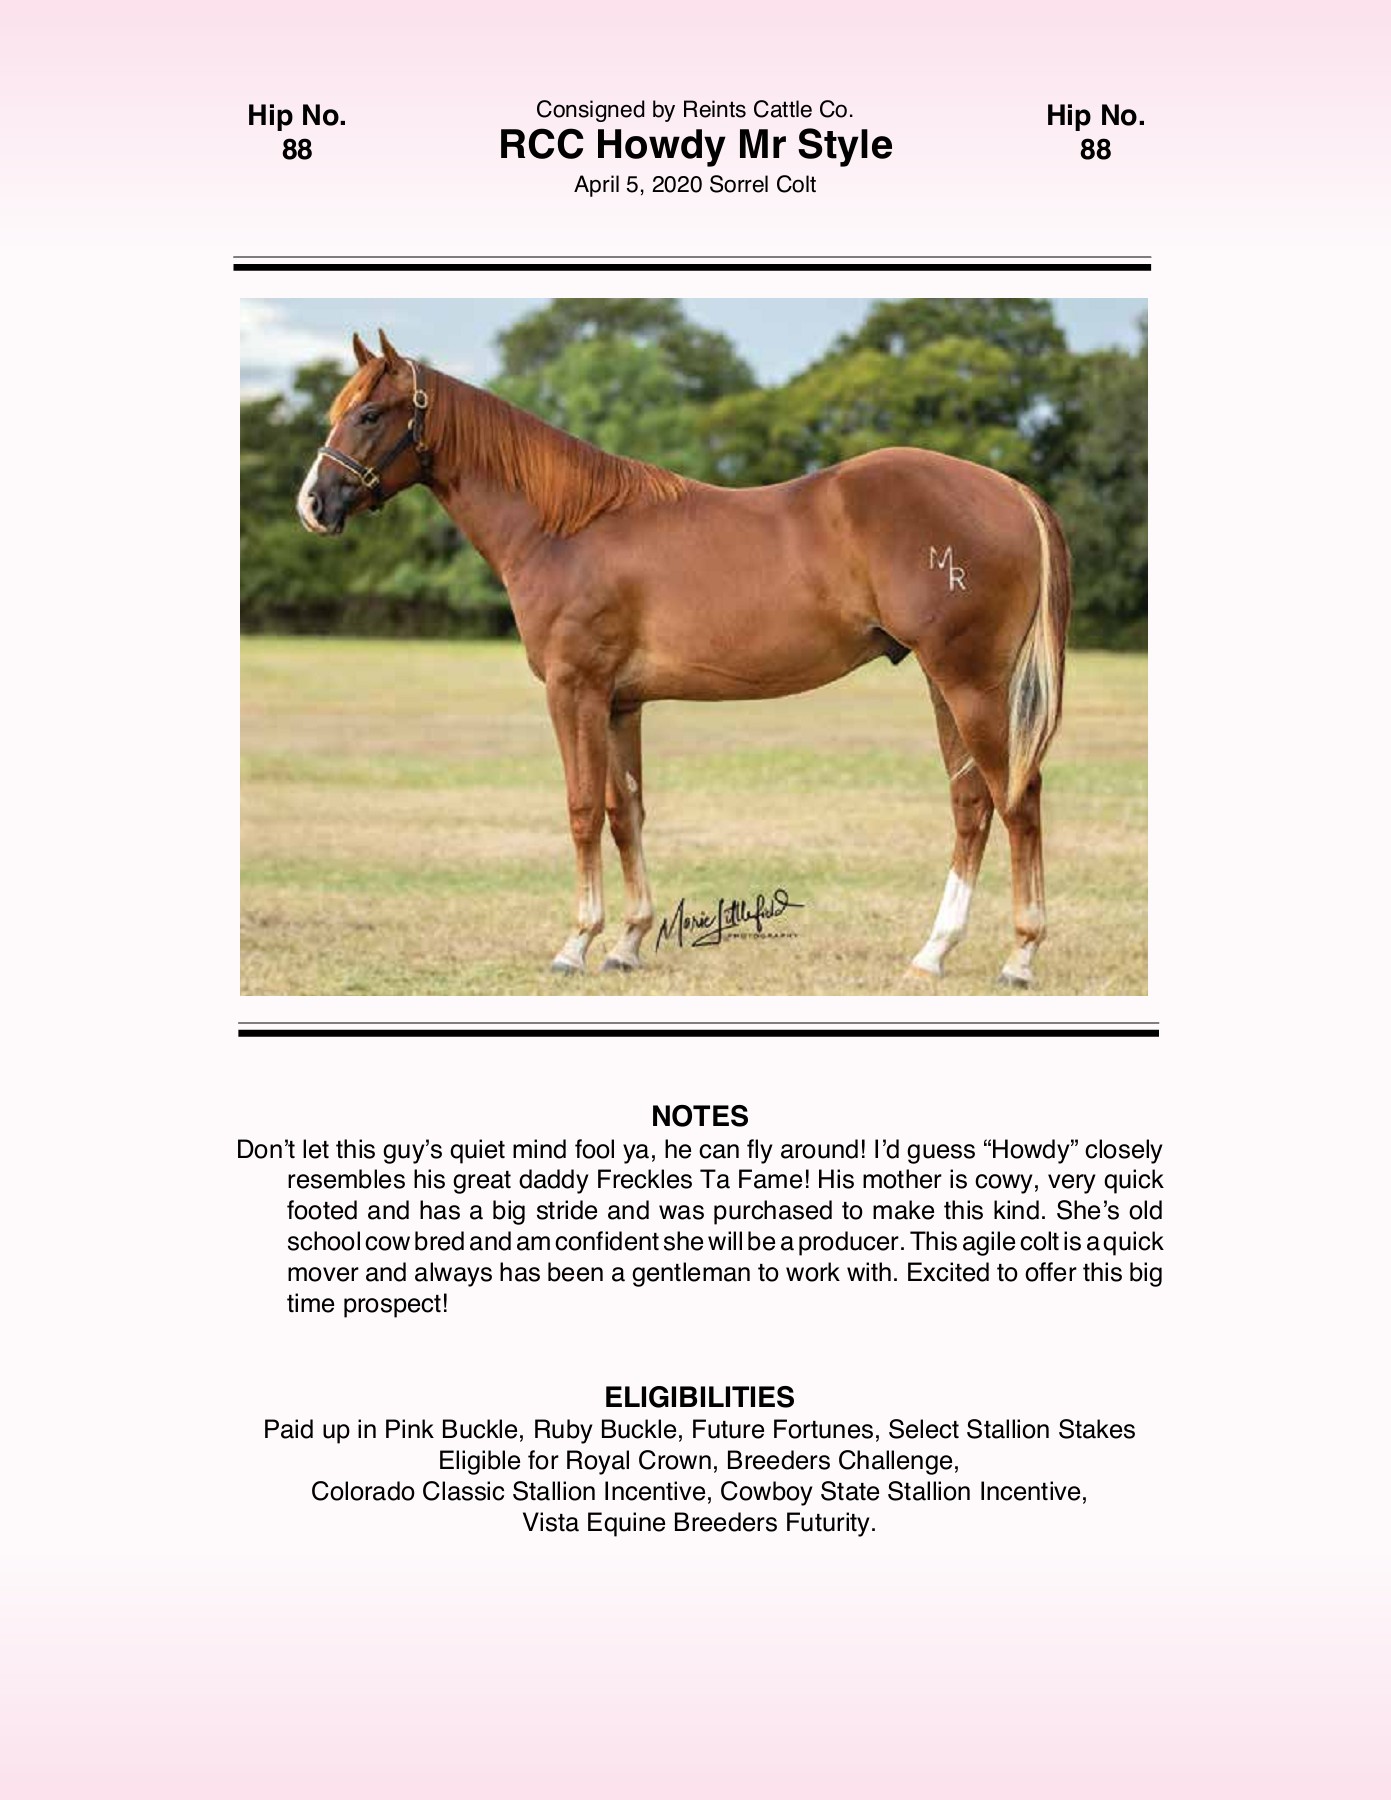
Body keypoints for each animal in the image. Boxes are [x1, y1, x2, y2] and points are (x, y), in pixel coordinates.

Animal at [296, 330, 1072, 986]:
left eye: (370, 413)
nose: (313, 505)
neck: (563, 529)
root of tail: (1008, 489)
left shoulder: (573, 690)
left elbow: (582, 809)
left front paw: (575, 945)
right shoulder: (619, 702)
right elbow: (625, 813)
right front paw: (628, 943)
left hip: (971, 684)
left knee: (1017, 800)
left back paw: (1020, 956)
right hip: (947, 685)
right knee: (972, 803)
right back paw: (933, 952)